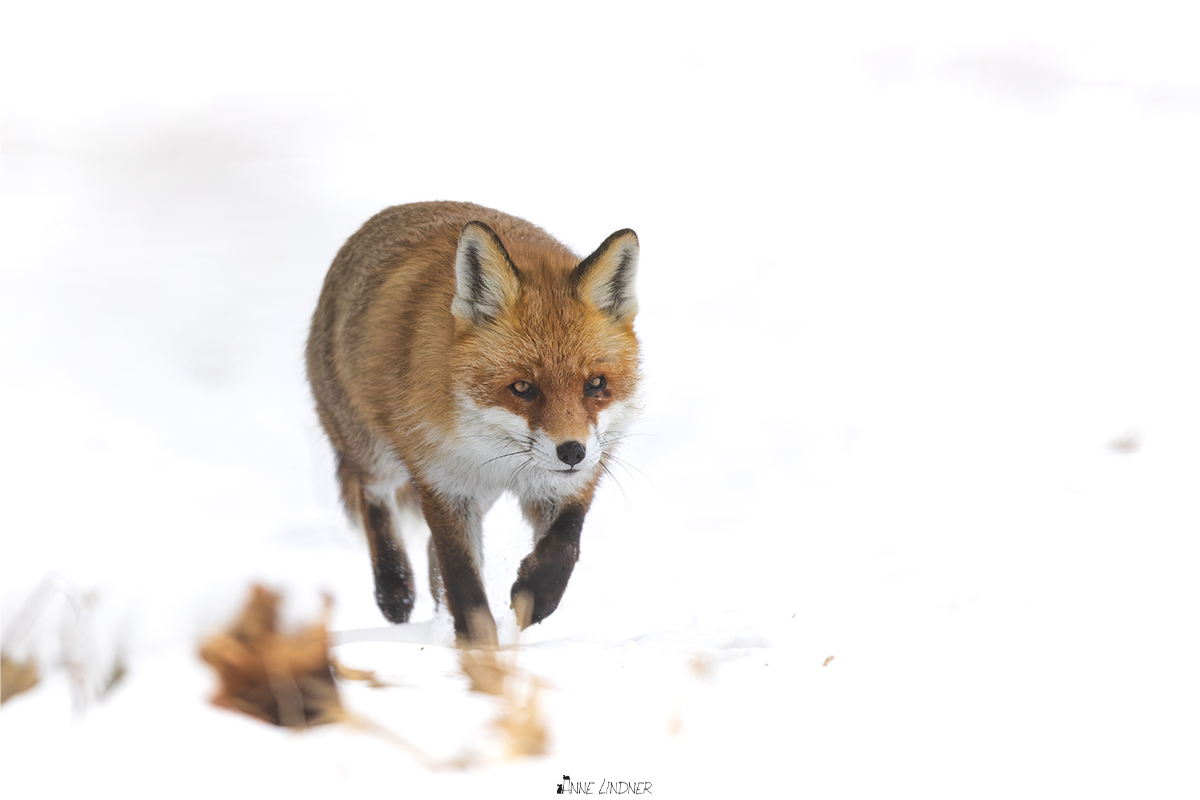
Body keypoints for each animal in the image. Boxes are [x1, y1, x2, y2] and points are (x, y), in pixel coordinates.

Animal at [306, 201, 641, 645]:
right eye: (522, 388)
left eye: (595, 385)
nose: (571, 451)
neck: (498, 455)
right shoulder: (443, 482)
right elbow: (465, 585)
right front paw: (481, 653)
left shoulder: (571, 482)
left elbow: (564, 549)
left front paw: (532, 596)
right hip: (374, 455)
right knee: (373, 501)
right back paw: (395, 588)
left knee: (430, 553)